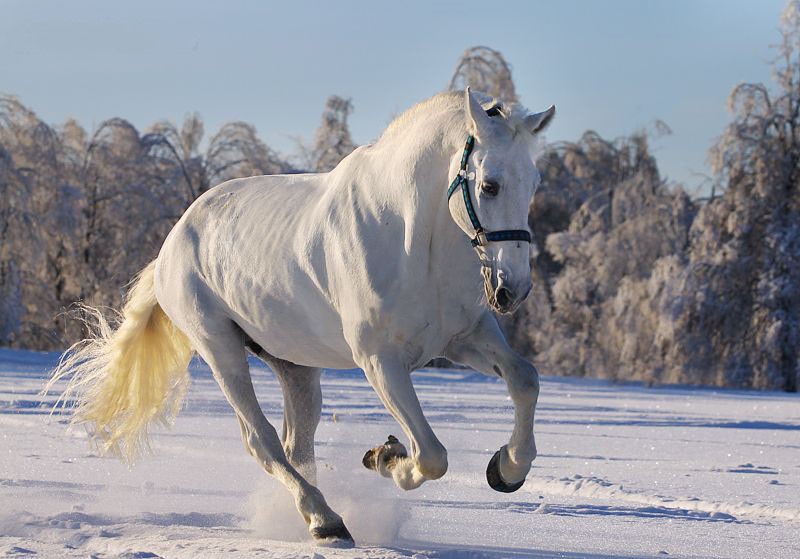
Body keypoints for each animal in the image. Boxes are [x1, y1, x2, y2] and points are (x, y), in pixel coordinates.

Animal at [47, 89, 552, 548]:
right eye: (489, 185)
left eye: (533, 183)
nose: (513, 288)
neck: (410, 239)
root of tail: (173, 241)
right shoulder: (380, 361)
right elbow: (431, 456)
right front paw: (385, 456)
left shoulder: (464, 338)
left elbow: (525, 379)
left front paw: (507, 468)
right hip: (220, 350)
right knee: (263, 441)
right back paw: (325, 521)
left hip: (296, 367)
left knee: (296, 447)